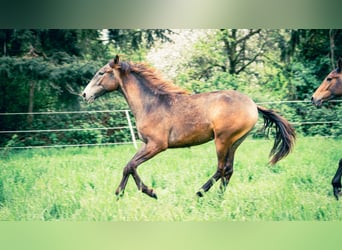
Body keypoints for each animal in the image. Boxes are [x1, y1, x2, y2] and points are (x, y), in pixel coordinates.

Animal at [83, 55, 296, 199]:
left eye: (101, 73)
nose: (84, 94)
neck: (151, 103)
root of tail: (253, 104)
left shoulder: (157, 145)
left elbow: (130, 165)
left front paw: (148, 192)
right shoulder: (147, 144)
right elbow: (129, 166)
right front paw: (120, 193)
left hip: (222, 140)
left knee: (221, 169)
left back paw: (199, 193)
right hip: (235, 142)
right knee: (228, 170)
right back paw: (218, 198)